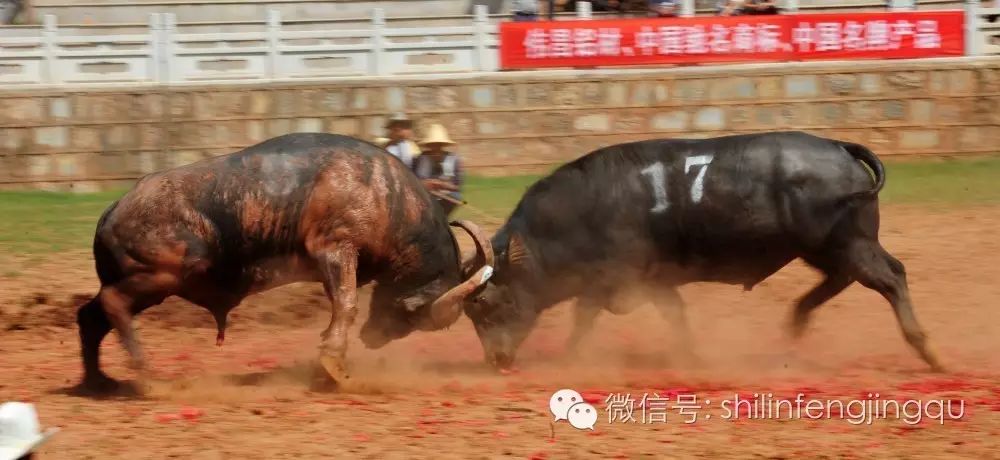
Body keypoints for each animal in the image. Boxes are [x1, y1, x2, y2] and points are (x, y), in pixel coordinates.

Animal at [462, 131, 944, 372]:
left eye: (483, 305)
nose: (496, 360)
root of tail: (840, 148)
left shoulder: (613, 280)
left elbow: (583, 320)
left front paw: (568, 360)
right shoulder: (649, 284)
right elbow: (673, 315)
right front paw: (691, 355)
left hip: (851, 244)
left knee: (891, 277)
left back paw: (928, 350)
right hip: (827, 249)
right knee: (840, 280)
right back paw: (793, 327)